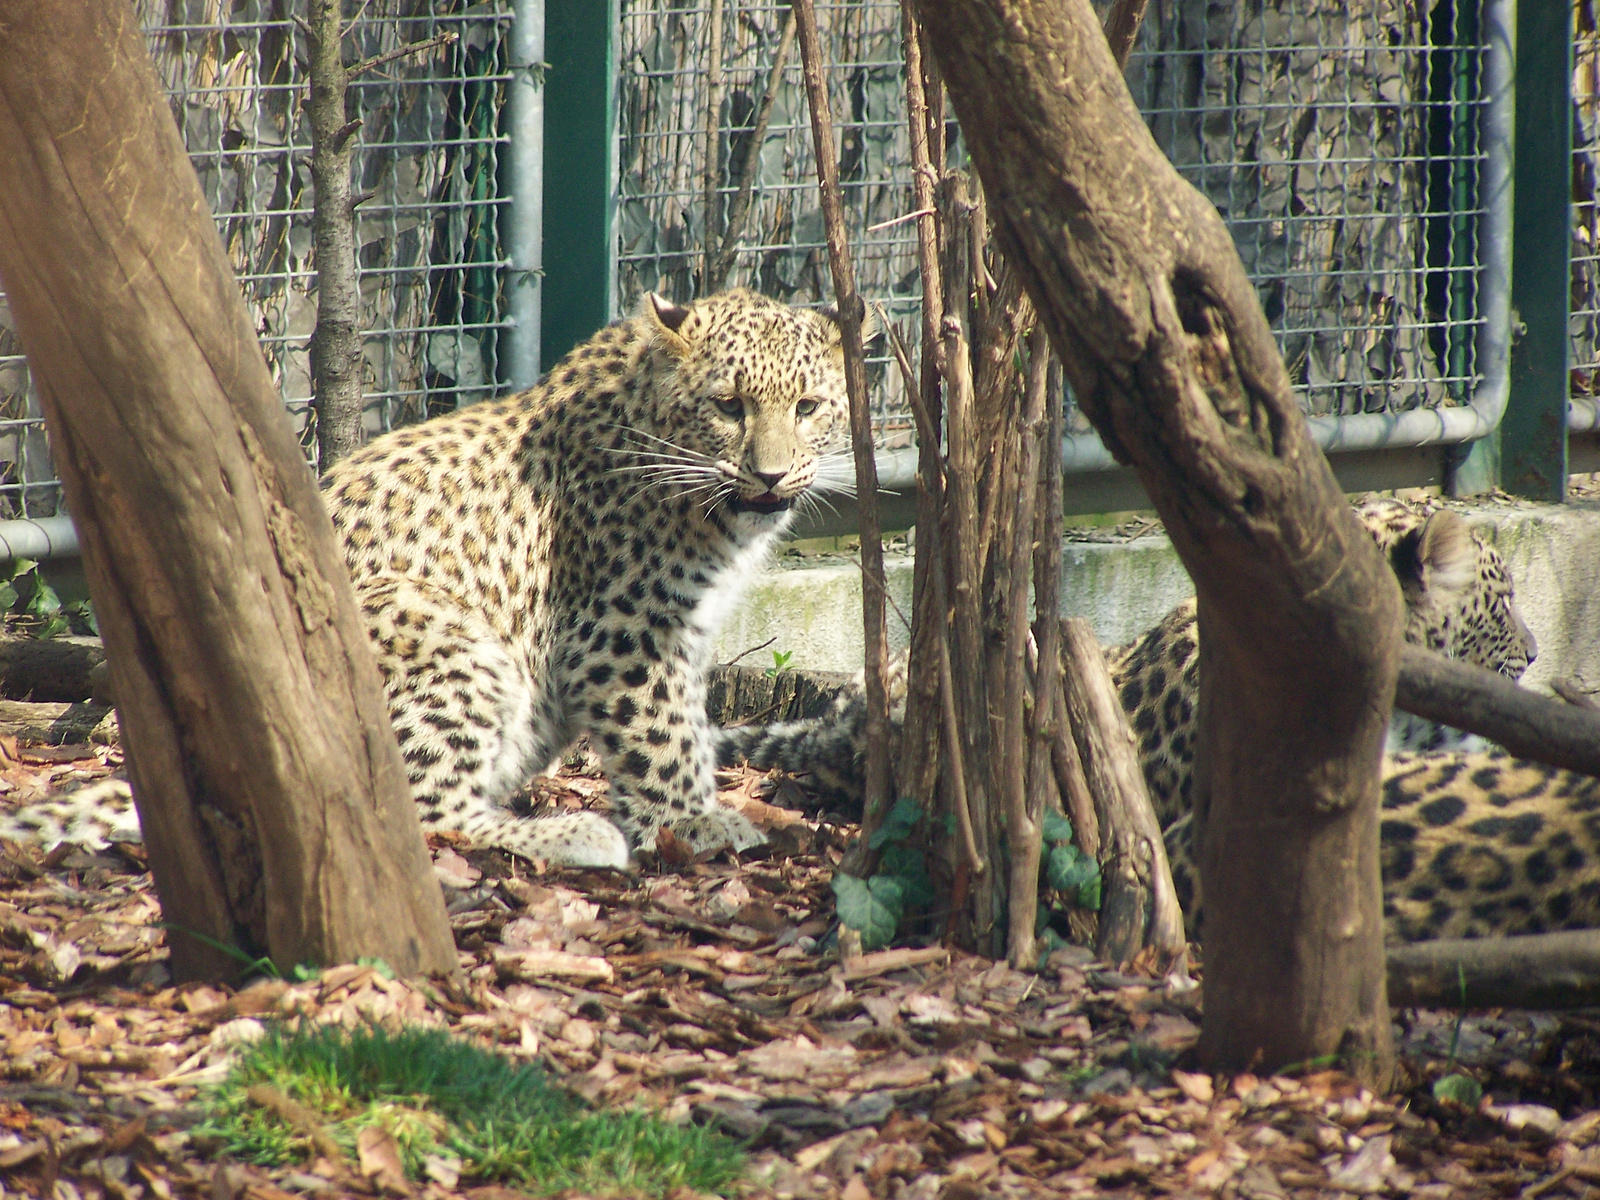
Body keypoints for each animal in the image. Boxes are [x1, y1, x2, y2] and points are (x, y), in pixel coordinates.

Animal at [0, 294, 857, 876]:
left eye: (809, 407)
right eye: (728, 406)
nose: (772, 475)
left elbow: (688, 725)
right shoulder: (622, 630)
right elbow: (662, 734)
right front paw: (695, 822)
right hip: (443, 632)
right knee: (416, 812)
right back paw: (571, 834)